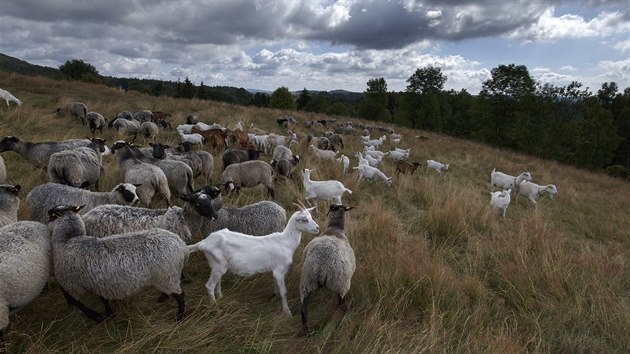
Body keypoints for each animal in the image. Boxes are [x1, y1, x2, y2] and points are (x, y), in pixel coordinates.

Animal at [185, 202, 318, 316]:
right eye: (304, 220)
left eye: (311, 216)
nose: (317, 228)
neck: (285, 242)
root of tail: (204, 242)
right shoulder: (280, 270)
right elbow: (284, 291)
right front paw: (287, 312)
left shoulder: (275, 270)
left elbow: (277, 285)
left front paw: (275, 294)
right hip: (219, 265)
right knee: (209, 286)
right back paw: (216, 308)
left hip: (217, 265)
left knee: (217, 280)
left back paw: (220, 296)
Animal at [300, 205, 356, 334]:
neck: (335, 229)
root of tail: (322, 267)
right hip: (342, 284)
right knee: (340, 306)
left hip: (306, 282)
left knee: (304, 310)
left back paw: (308, 331)